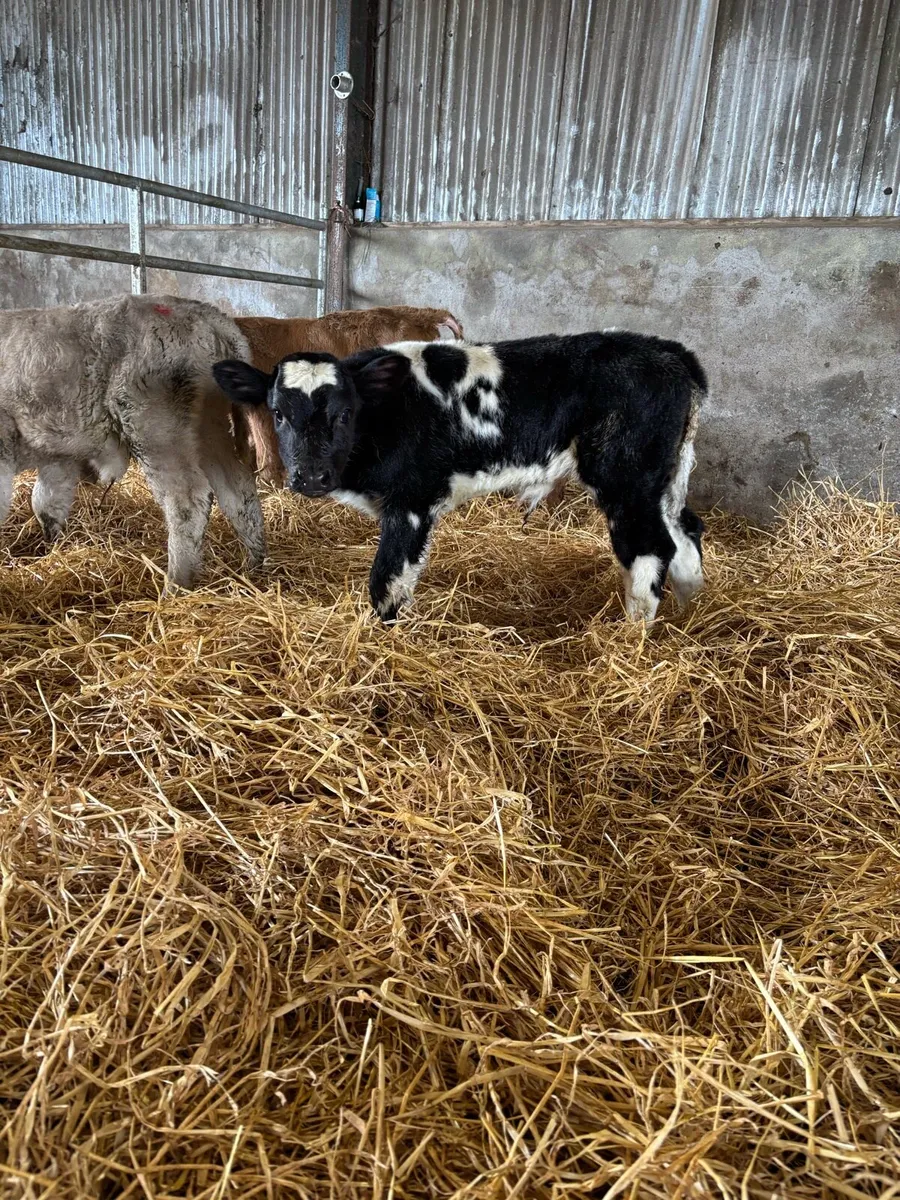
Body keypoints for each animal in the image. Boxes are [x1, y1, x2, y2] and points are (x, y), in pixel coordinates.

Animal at [0, 294, 265, 590]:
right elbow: (47, 503)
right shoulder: (58, 454)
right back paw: (254, 565)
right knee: (237, 489)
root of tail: (210, 316)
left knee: (186, 499)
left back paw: (176, 584)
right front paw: (52, 546)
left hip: (156, 428)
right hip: (207, 430)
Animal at [213, 331, 706, 624]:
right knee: (685, 532)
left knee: (649, 548)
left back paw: (630, 636)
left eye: (345, 413)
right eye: (278, 413)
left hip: (625, 476)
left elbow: (387, 582)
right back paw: (688, 611)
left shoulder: (412, 502)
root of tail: (668, 350)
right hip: (662, 480)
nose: (311, 477)